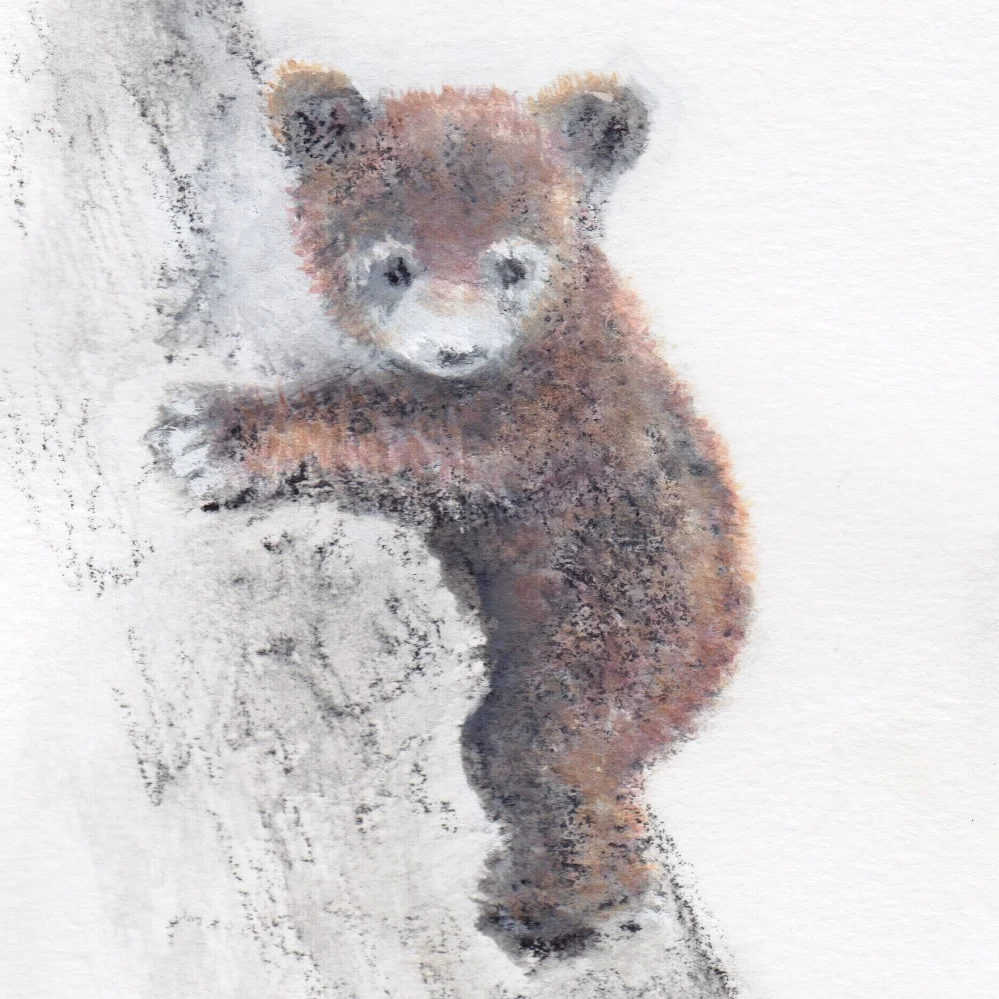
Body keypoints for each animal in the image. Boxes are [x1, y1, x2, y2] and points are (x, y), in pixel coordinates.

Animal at [149, 62, 752, 958]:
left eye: (511, 266)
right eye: (393, 266)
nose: (454, 347)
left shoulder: (550, 410)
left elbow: (423, 435)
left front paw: (220, 431)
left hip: (620, 626)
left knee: (549, 748)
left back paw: (552, 905)